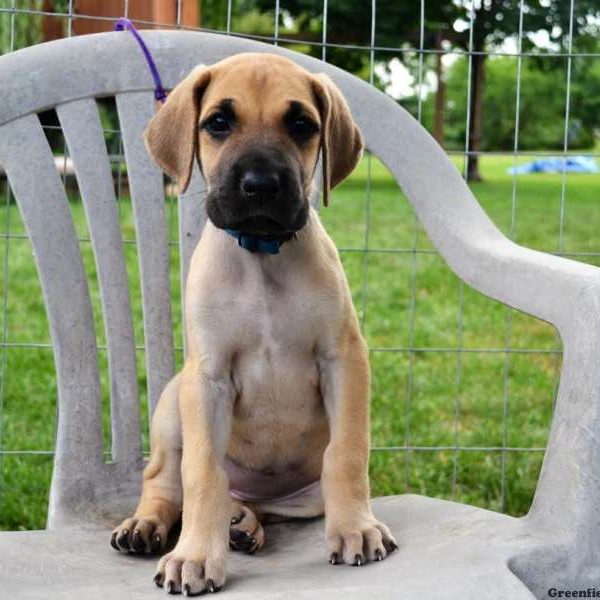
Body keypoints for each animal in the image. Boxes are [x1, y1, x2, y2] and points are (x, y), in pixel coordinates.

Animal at [110, 55, 396, 596]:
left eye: (302, 125)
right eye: (218, 122)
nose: (260, 185)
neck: (263, 259)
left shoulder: (343, 358)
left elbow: (347, 453)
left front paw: (356, 527)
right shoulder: (207, 378)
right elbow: (202, 474)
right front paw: (195, 555)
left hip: (299, 494)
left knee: (264, 502)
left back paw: (244, 523)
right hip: (173, 404)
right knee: (165, 481)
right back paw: (149, 524)